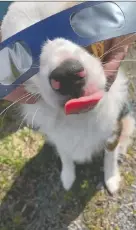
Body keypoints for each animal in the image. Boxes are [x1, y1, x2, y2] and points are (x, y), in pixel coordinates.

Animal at [1, 1, 135, 194]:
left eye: (83, 21)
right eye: (21, 53)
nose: (67, 75)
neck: (79, 118)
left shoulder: (113, 129)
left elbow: (109, 155)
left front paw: (111, 178)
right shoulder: (58, 137)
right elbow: (65, 155)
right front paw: (68, 176)